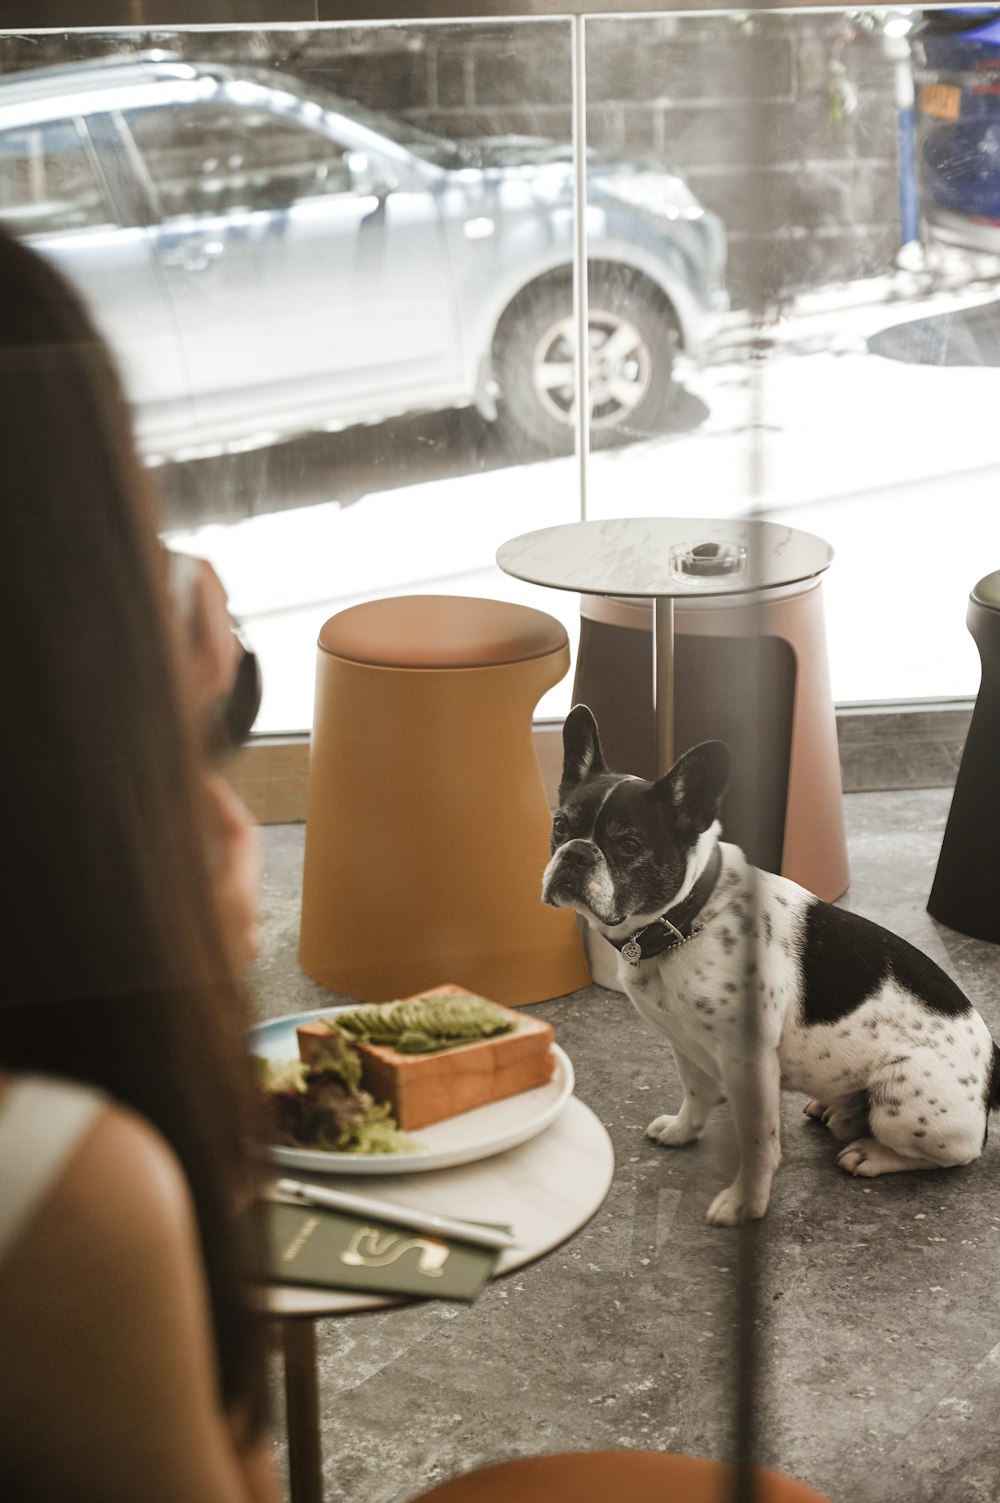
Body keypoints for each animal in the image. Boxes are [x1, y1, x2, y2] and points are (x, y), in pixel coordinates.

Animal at [547, 709, 998, 1226]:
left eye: (628, 844)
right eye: (559, 825)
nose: (575, 852)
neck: (687, 917)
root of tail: (993, 1067)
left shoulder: (751, 1065)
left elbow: (758, 1141)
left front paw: (746, 1203)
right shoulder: (685, 1044)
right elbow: (696, 1092)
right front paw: (683, 1130)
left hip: (903, 1097)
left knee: (957, 1152)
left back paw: (872, 1153)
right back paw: (838, 1111)